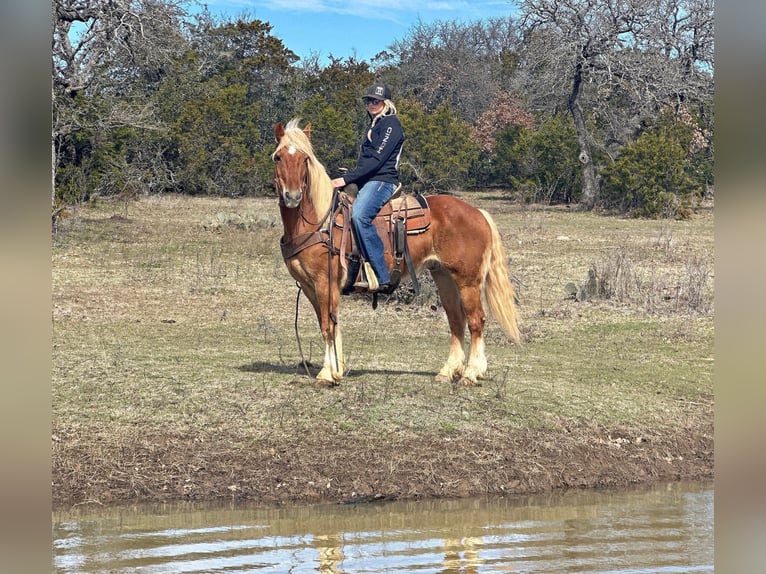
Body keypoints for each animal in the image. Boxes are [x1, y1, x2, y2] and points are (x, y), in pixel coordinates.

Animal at [272, 117, 520, 390]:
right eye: (278, 157)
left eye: (305, 159)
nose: (292, 196)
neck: (319, 222)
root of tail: (477, 212)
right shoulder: (309, 286)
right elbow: (327, 325)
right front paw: (337, 369)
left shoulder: (325, 282)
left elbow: (328, 325)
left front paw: (328, 374)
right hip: (444, 277)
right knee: (456, 320)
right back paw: (447, 372)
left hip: (468, 281)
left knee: (476, 320)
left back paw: (471, 373)